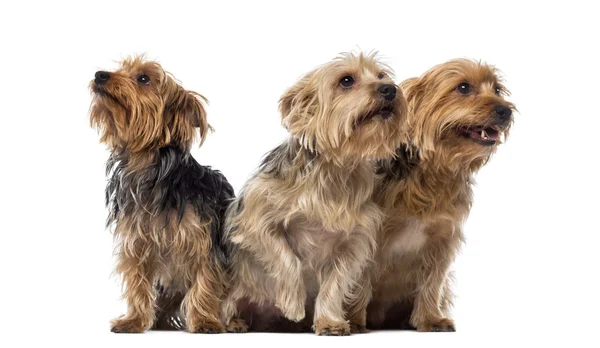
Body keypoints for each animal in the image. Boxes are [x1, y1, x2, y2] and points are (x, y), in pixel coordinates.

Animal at [89, 55, 234, 334]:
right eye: (120, 69)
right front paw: (134, 320)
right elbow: (137, 282)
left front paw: (205, 321)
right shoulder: (136, 242)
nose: (100, 75)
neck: (147, 170)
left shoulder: (204, 240)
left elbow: (205, 279)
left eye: (143, 78)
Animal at [220, 51, 408, 334]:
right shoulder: (254, 219)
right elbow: (288, 259)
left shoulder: (354, 243)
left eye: (382, 76)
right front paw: (293, 303)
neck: (337, 169)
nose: (390, 89)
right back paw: (233, 321)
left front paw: (329, 321)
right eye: (346, 80)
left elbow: (335, 284)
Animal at [366, 59, 516, 332]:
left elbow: (432, 282)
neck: (432, 174)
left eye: (497, 90)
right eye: (464, 87)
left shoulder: (442, 239)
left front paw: (430, 319)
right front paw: (353, 320)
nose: (505, 110)